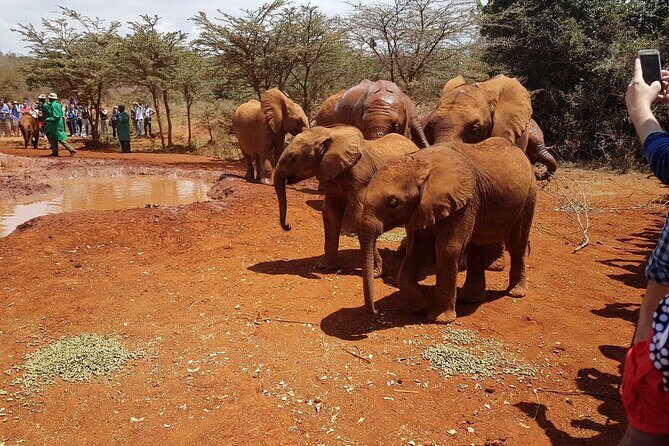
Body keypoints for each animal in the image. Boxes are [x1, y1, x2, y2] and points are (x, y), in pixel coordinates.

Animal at [274, 125, 419, 275]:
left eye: (293, 158)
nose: (288, 226)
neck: (328, 133)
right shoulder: (331, 176)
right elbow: (330, 213)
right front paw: (325, 268)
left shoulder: (360, 179)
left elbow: (360, 216)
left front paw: (376, 273)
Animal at [359, 138, 537, 323]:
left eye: (393, 203)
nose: (375, 312)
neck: (421, 164)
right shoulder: (421, 208)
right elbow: (416, 250)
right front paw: (422, 305)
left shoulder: (464, 204)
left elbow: (448, 250)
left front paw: (439, 319)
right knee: (477, 247)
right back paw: (468, 299)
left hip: (528, 197)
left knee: (517, 244)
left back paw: (515, 293)